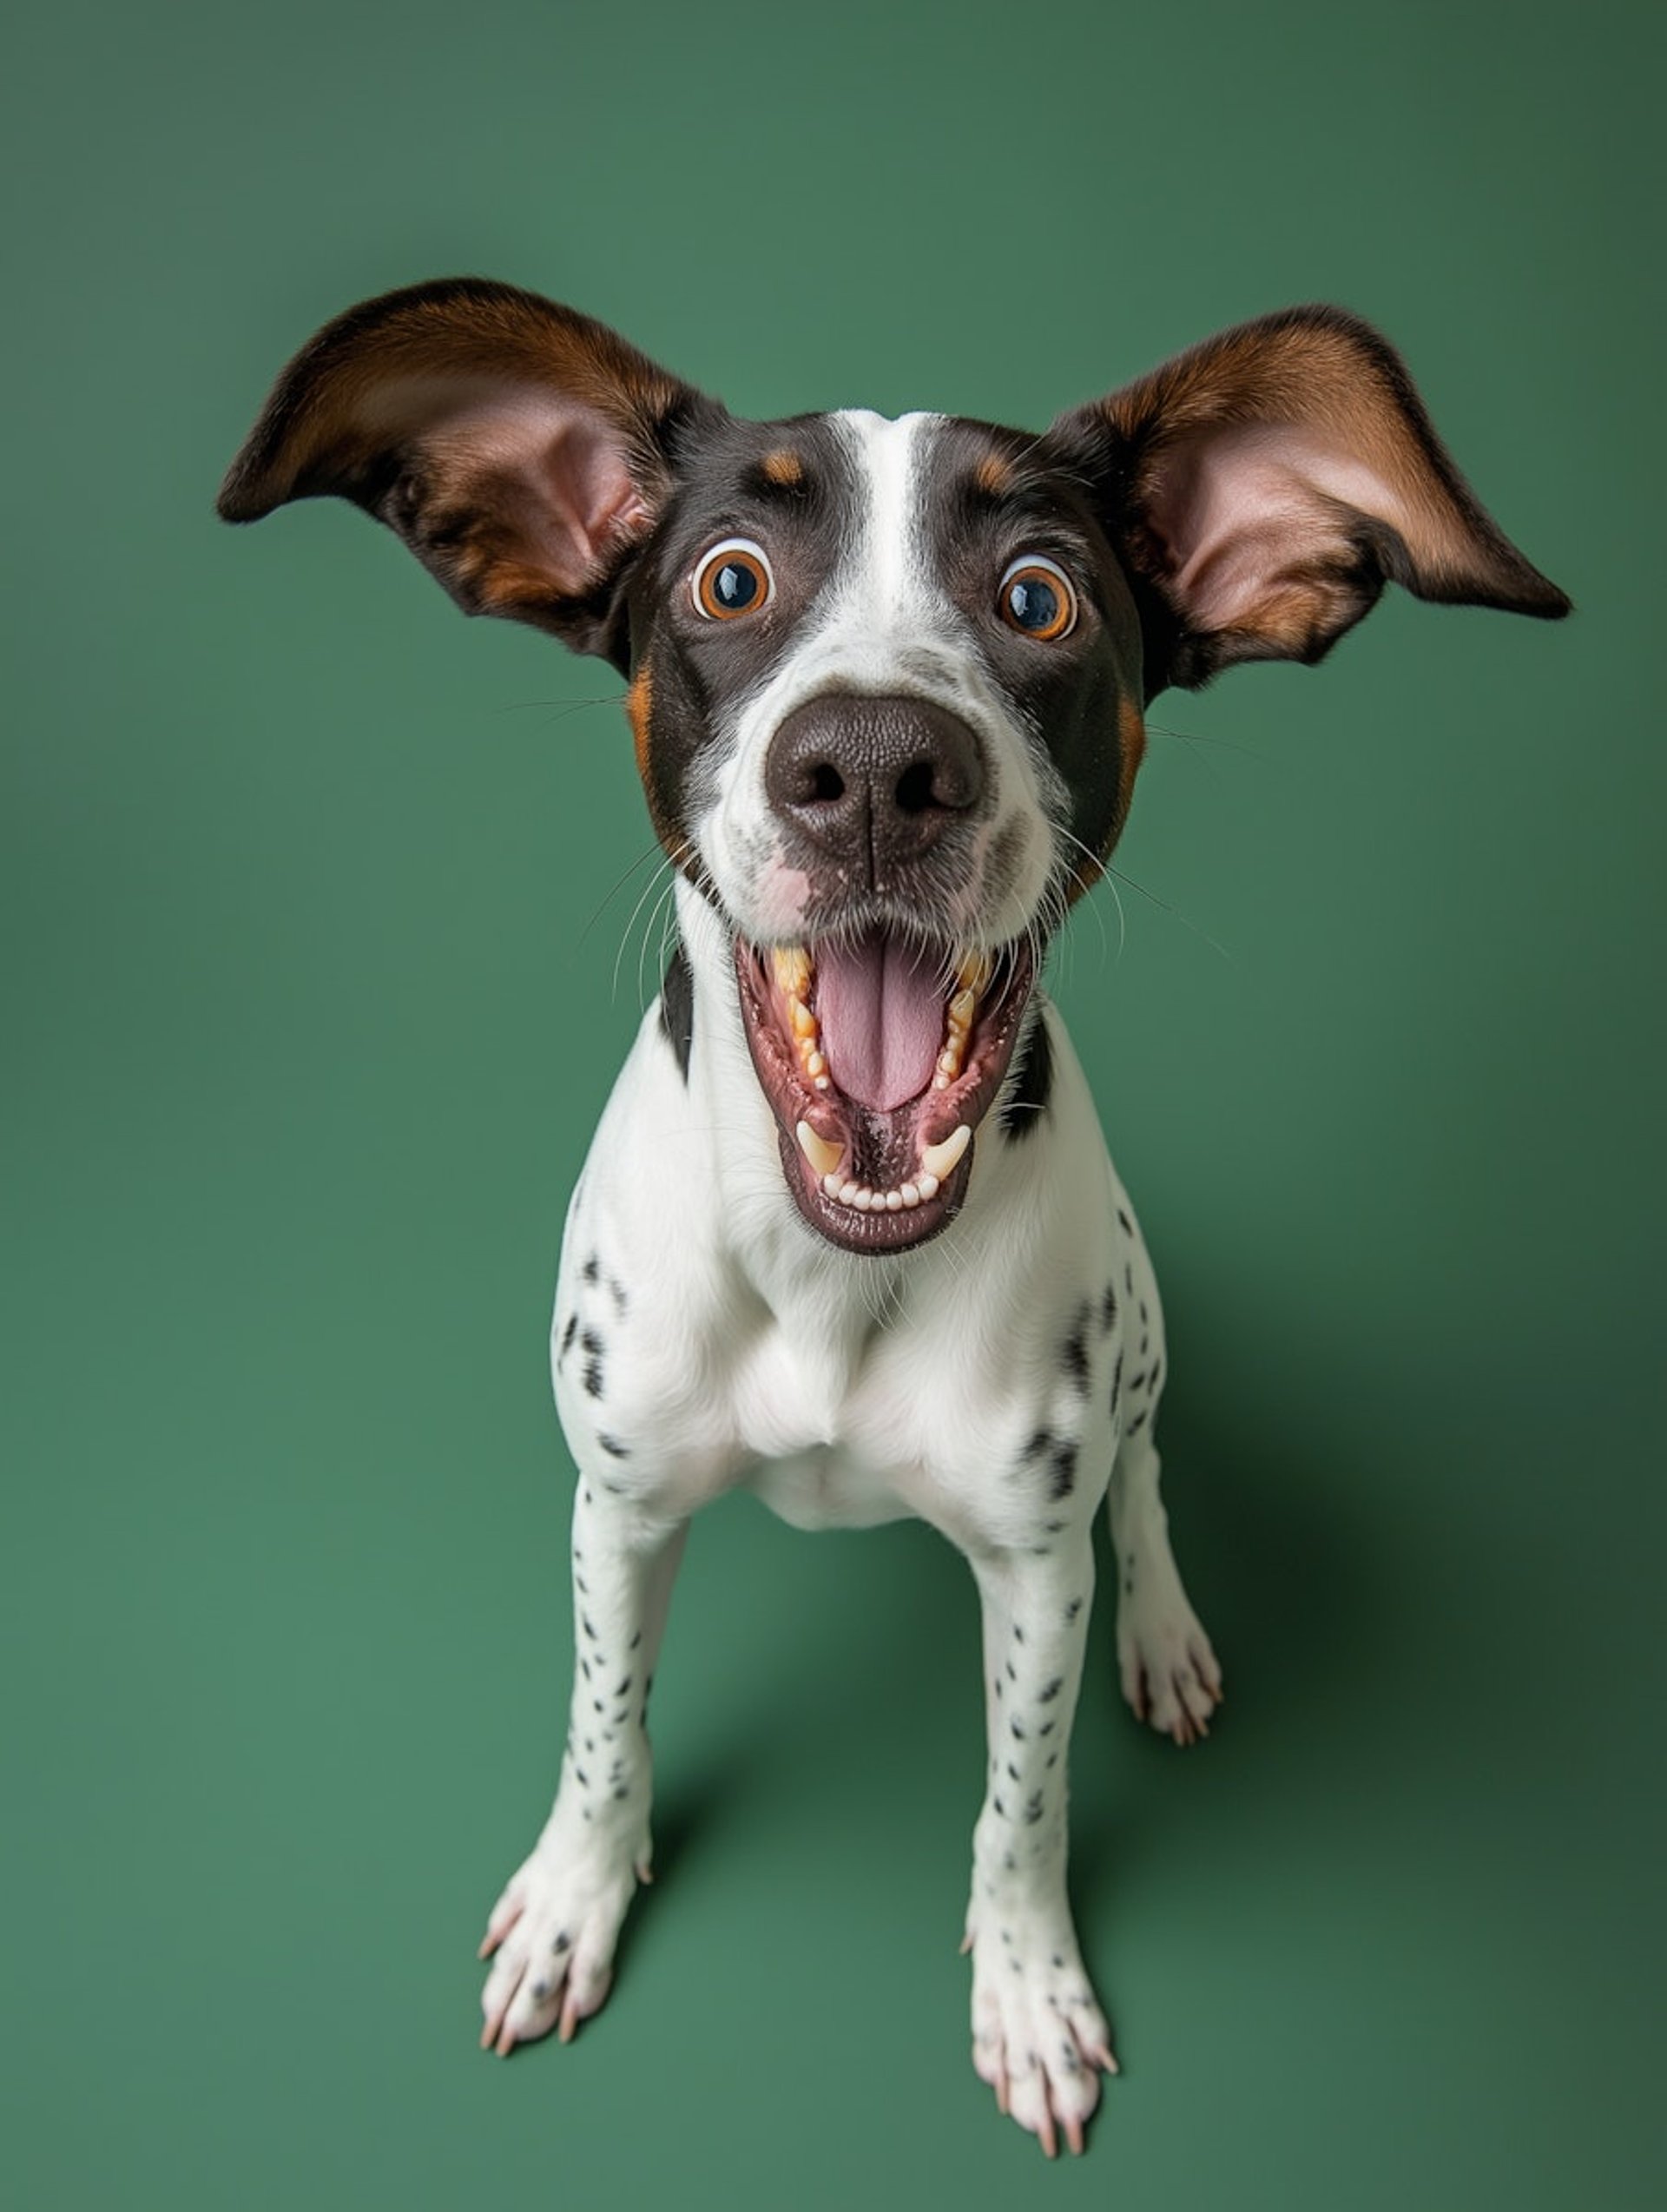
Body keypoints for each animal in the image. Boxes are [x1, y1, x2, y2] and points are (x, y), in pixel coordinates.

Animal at [217, 285, 1556, 2149]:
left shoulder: (1032, 1573)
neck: (830, 1278)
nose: (870, 767)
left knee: (1145, 1476)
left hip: (1141, 1326)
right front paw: (577, 1895)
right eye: (728, 579)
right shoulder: (615, 1506)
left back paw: (1168, 1632)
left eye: (1039, 594)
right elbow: (604, 1725)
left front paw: (1032, 1983)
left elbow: (1023, 1799)